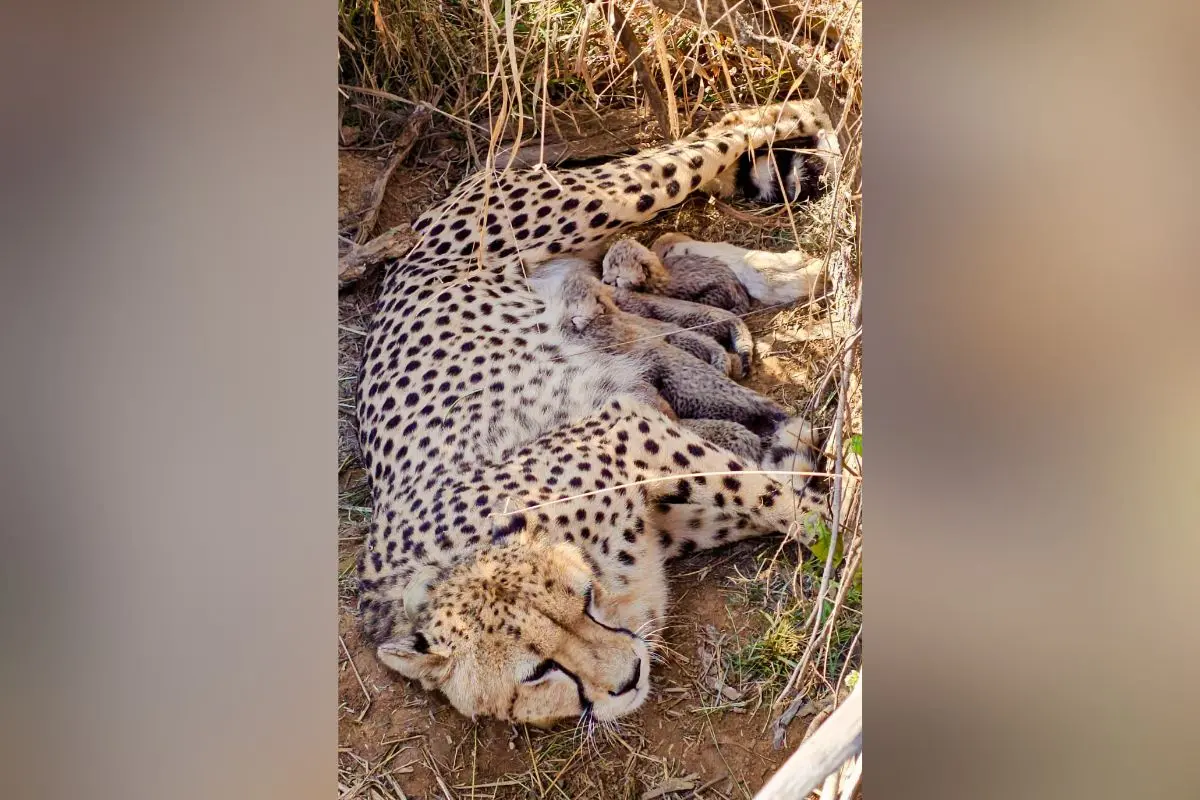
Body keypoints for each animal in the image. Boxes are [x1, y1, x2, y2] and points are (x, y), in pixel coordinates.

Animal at [354, 100, 834, 727]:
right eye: (536, 673)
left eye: (582, 600)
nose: (627, 678)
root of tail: (418, 231)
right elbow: (768, 489)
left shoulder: (629, 431)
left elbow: (779, 500)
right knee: (674, 237)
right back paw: (783, 276)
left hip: (603, 198)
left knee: (737, 128)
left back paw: (815, 130)